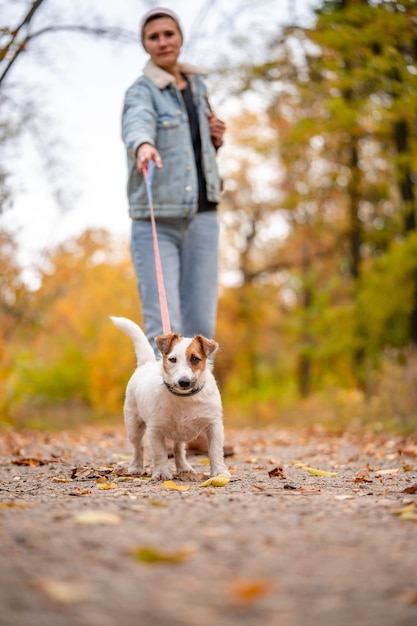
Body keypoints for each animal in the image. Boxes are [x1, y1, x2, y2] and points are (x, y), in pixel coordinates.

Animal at [109, 314, 229, 480]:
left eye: (195, 359)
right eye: (172, 359)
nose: (184, 382)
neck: (184, 398)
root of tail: (146, 364)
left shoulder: (214, 425)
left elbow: (215, 451)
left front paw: (219, 472)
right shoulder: (155, 430)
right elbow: (160, 454)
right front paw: (161, 472)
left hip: (180, 433)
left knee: (179, 449)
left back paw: (184, 467)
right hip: (134, 425)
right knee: (138, 447)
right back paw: (135, 467)